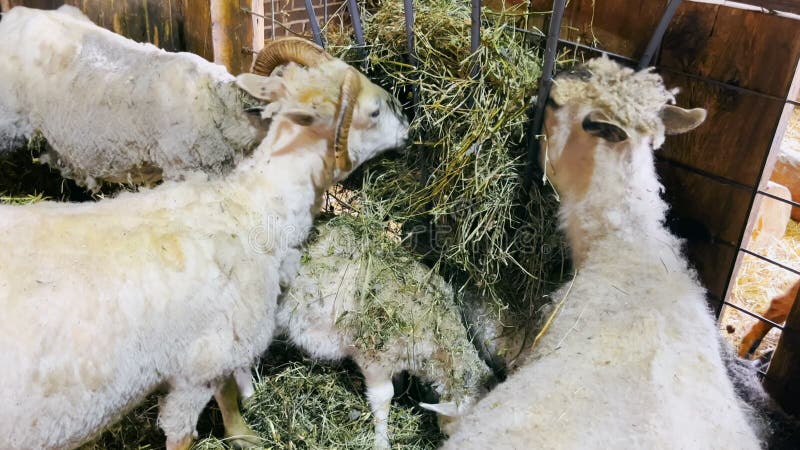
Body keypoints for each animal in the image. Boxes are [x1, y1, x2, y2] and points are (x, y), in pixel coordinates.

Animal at [0, 38, 410, 450]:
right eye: (373, 112)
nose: (407, 123)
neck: (249, 209)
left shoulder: (219, 353)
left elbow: (226, 392)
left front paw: (243, 434)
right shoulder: (199, 366)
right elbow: (188, 427)